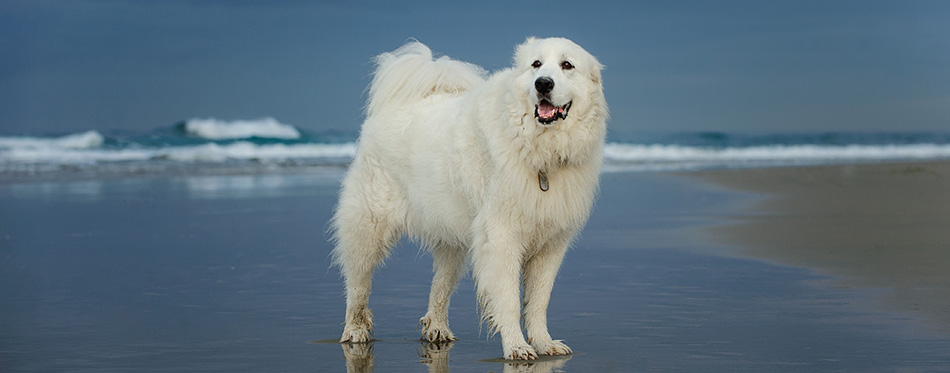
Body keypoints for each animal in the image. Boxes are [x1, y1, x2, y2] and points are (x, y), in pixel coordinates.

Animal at [330, 36, 608, 358]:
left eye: (567, 65)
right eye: (536, 64)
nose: (543, 84)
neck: (540, 151)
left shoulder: (551, 244)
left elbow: (538, 301)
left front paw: (543, 343)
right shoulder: (501, 237)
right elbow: (509, 300)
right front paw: (516, 347)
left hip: (451, 238)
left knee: (440, 287)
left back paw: (437, 329)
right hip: (368, 227)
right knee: (358, 283)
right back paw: (355, 331)